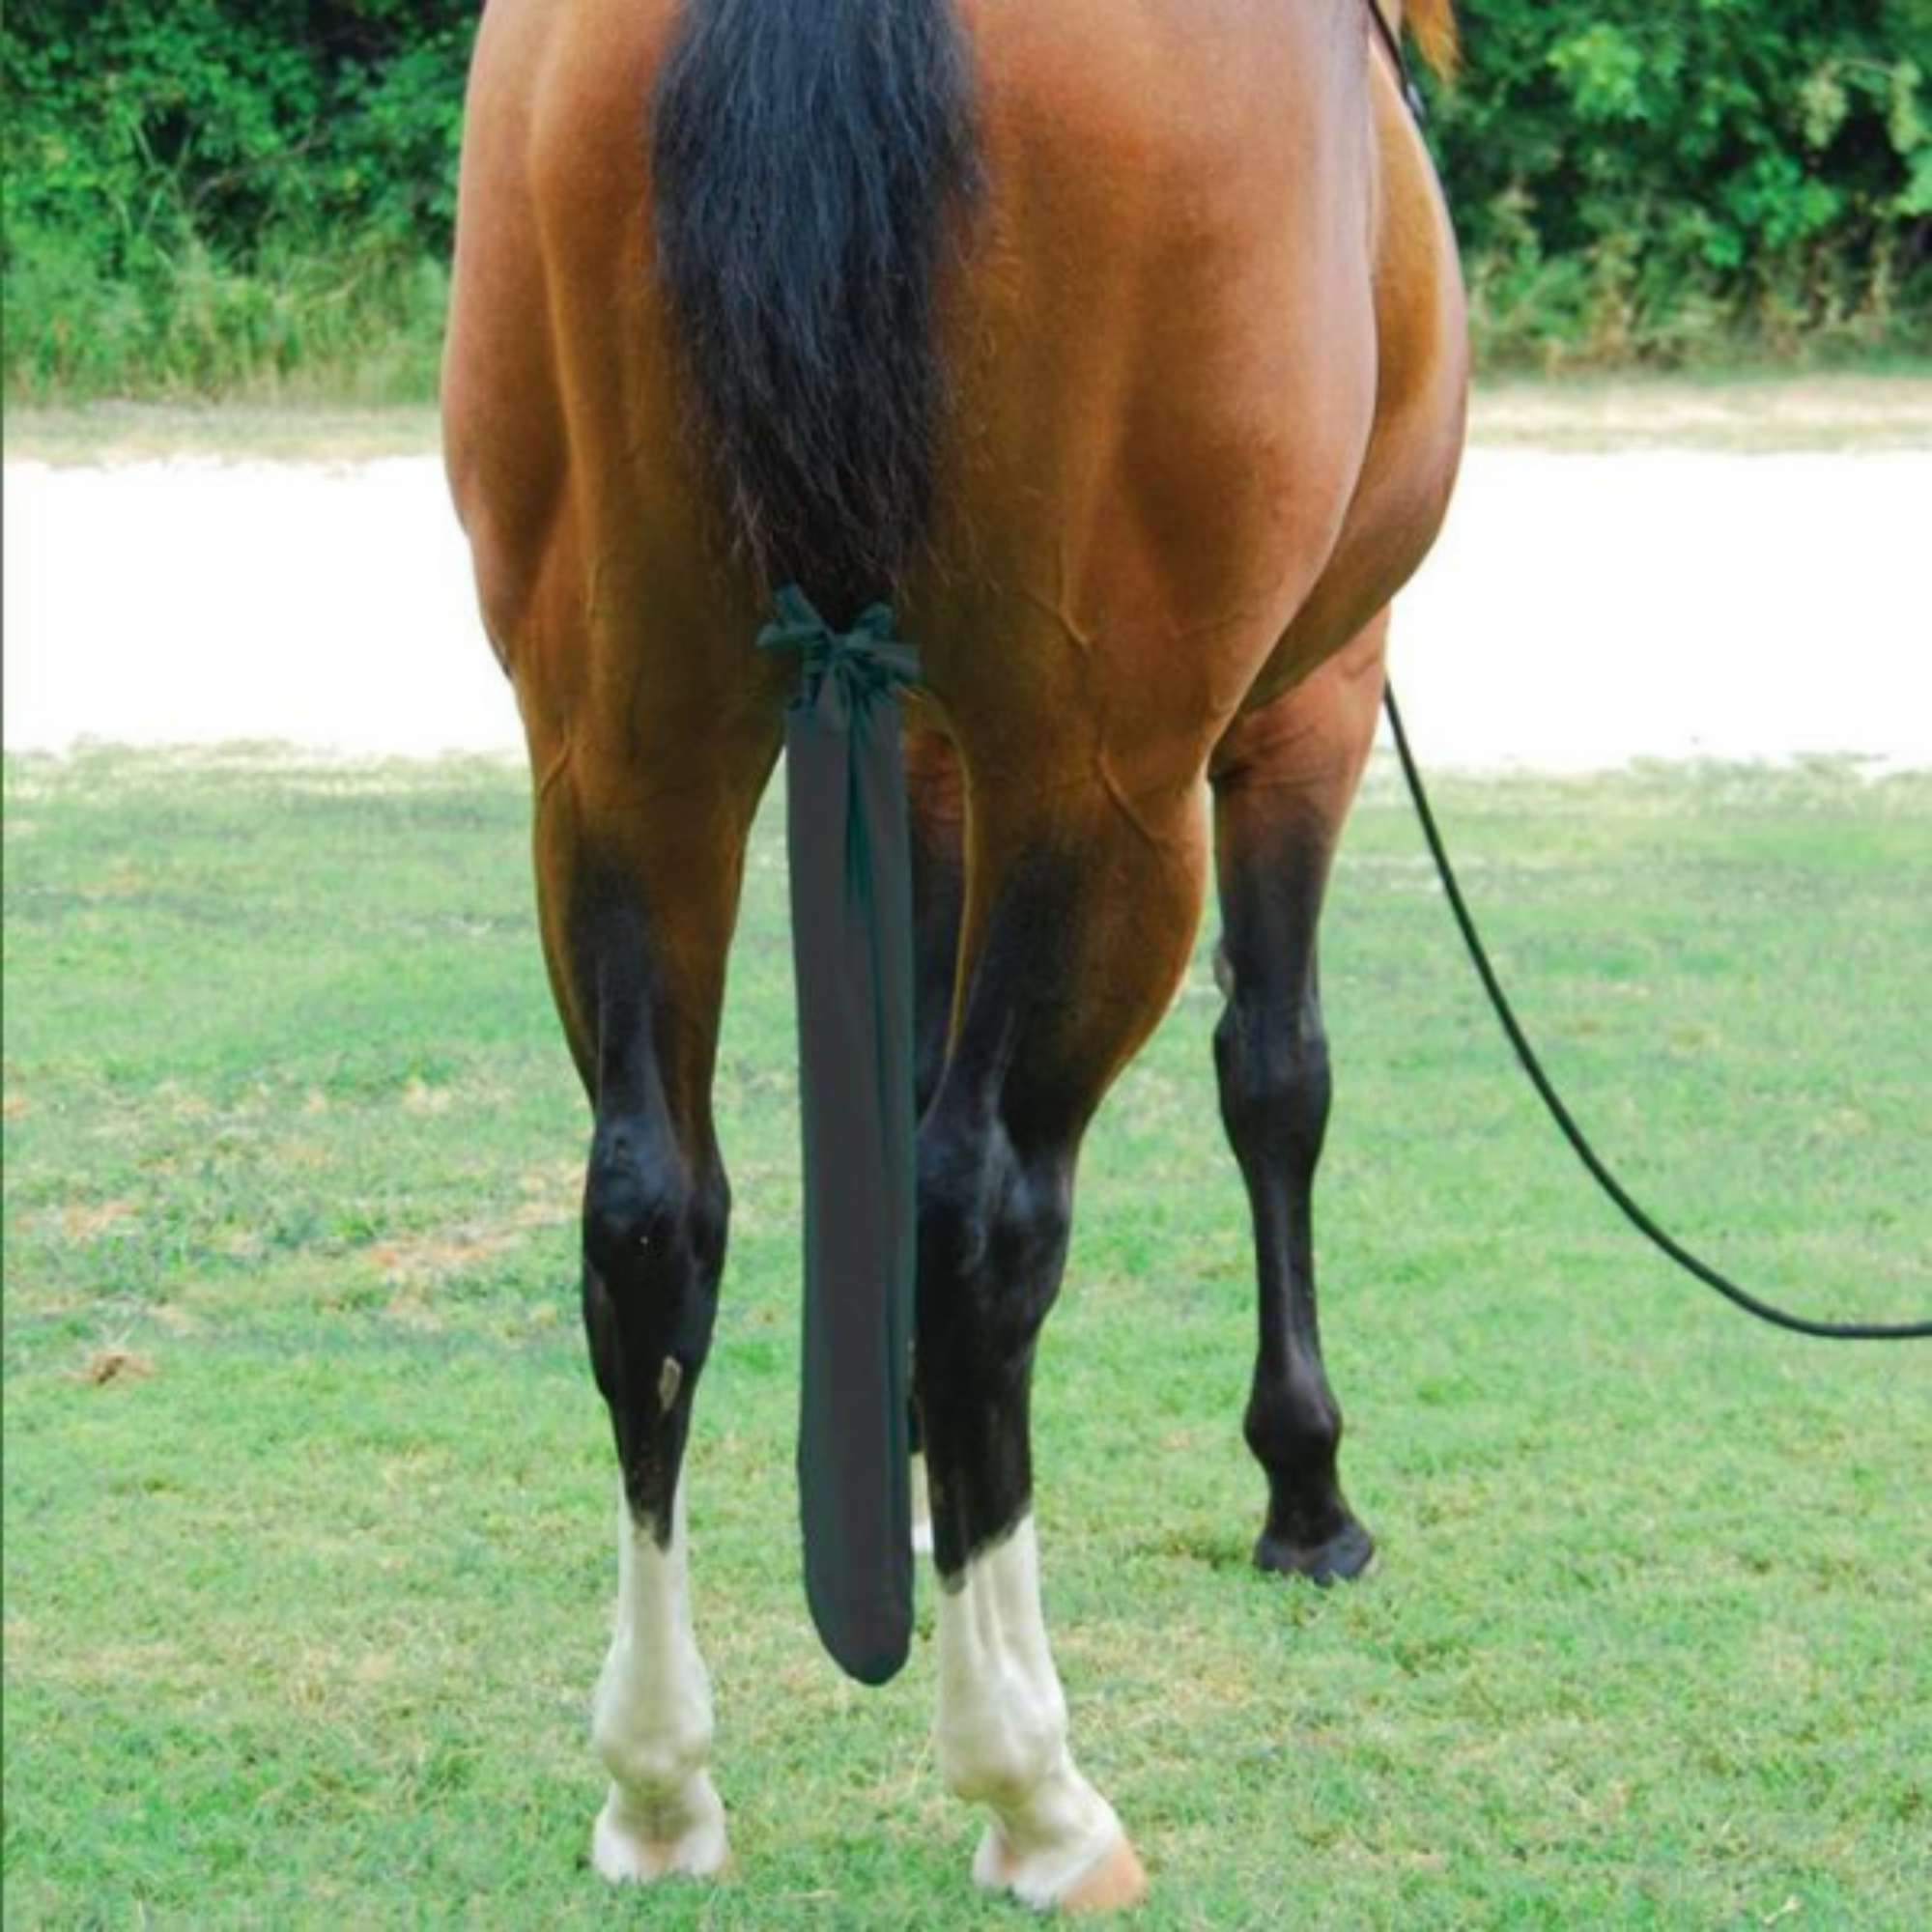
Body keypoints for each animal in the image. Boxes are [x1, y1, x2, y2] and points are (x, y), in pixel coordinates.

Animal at [442, 0, 1467, 1911]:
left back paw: (659, 1785)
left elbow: (896, 1069)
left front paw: (905, 1461)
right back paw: (1035, 1792)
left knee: (647, 1214)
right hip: (1106, 771)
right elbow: (1275, 1079)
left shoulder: (909, 735)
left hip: (620, 739)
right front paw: (1306, 1489)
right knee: (987, 1210)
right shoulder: (1311, 696)